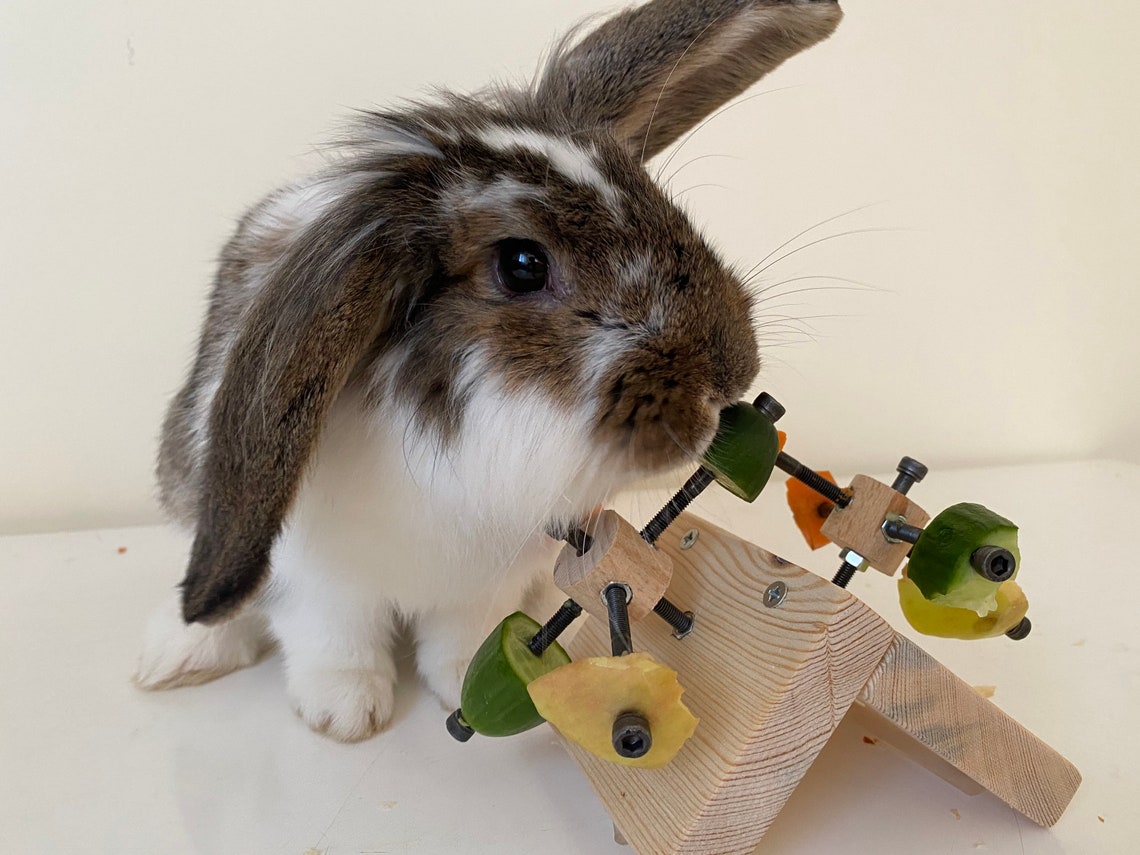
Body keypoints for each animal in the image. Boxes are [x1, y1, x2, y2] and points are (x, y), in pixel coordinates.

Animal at [135, 0, 843, 743]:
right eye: (522, 264)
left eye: (657, 199)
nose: (732, 373)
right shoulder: (322, 585)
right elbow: (334, 642)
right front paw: (345, 713)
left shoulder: (488, 580)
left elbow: (464, 635)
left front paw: (454, 685)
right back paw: (176, 654)